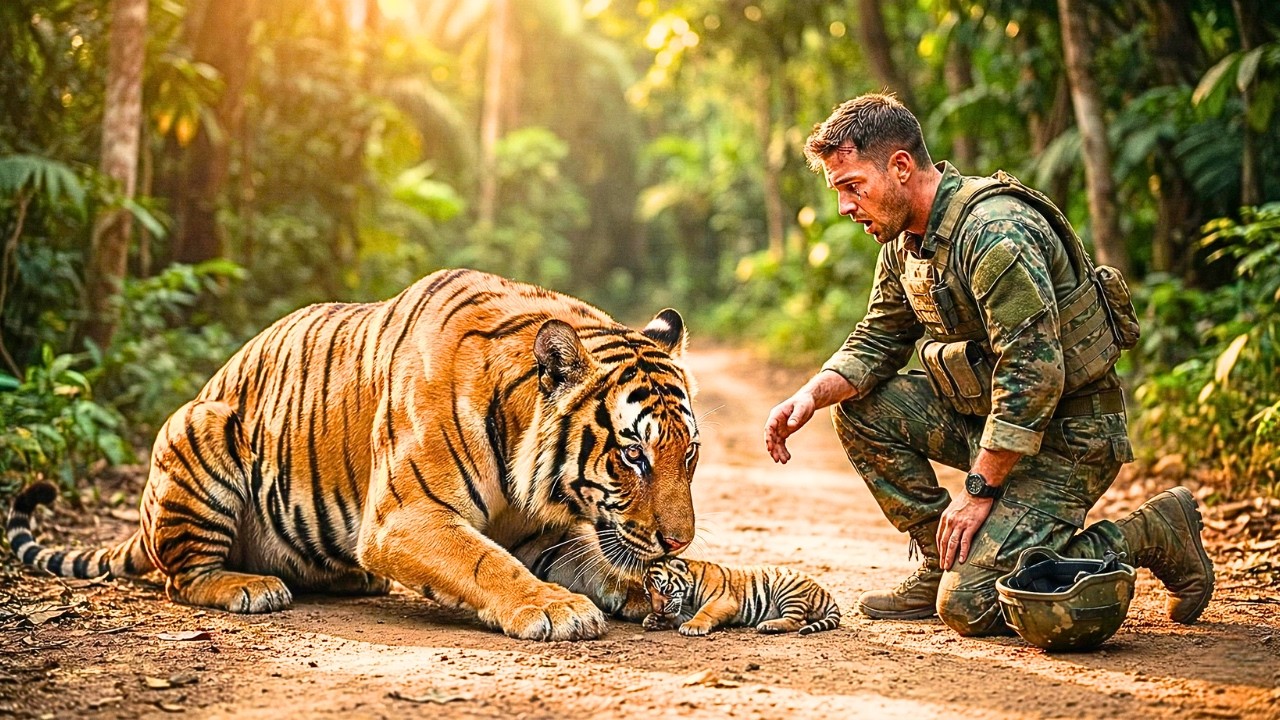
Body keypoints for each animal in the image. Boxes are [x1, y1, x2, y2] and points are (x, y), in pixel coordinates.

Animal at [6, 268, 702, 641]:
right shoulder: (405, 515)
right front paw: (556, 608)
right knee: (182, 579)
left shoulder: (538, 534)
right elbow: (486, 563)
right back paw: (249, 587)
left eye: (689, 454)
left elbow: (596, 563)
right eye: (633, 456)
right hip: (200, 426)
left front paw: (654, 590)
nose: (680, 541)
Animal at [641, 557, 842, 636]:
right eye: (648, 595)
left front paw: (692, 627)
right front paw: (652, 620)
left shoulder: (722, 600)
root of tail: (822, 590)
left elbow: (704, 612)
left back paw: (768, 625)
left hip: (787, 590)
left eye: (665, 588)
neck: (687, 601)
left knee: (799, 621)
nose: (657, 610)